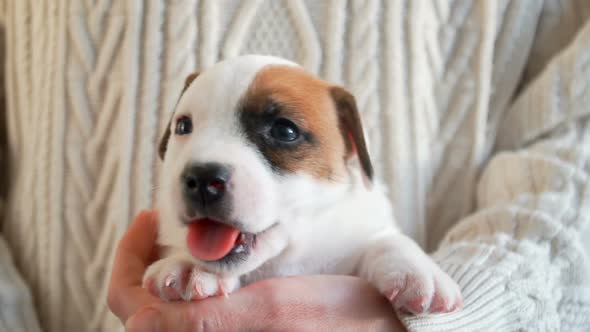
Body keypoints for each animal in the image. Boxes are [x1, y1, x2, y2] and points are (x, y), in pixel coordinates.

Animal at [146, 54, 464, 314]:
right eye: (183, 126)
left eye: (284, 131)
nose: (200, 177)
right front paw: (189, 265)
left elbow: (386, 241)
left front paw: (417, 271)